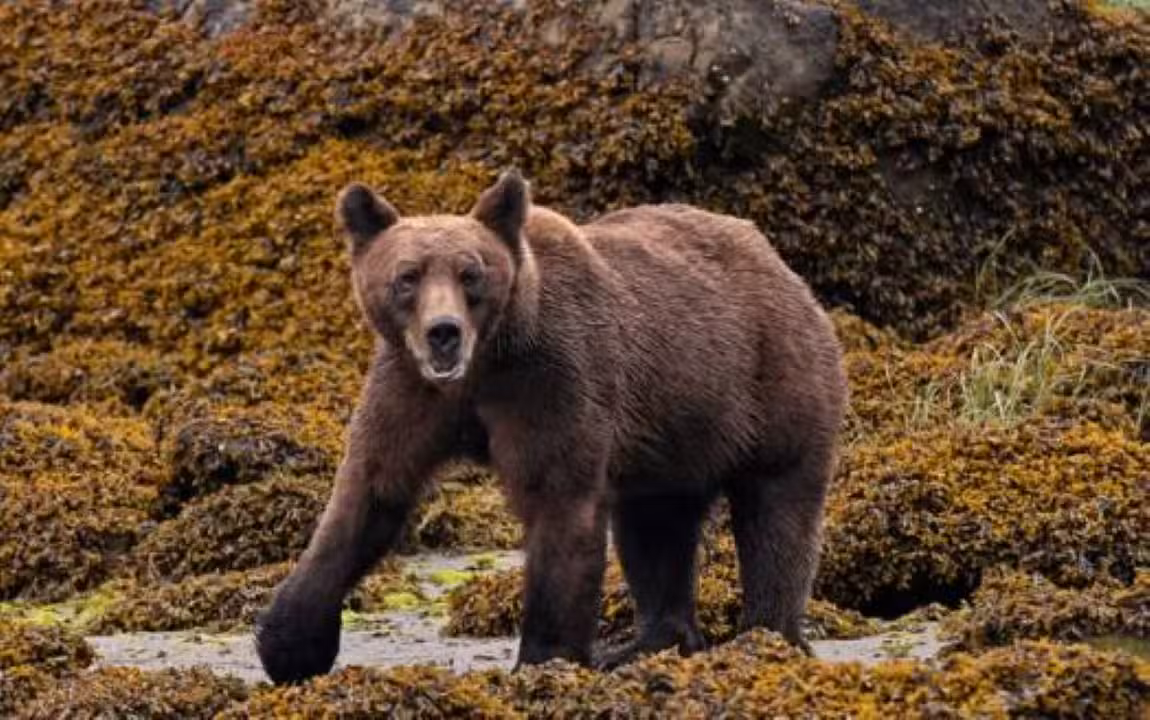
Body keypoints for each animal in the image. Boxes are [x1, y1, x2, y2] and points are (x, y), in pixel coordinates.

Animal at [255, 169, 848, 685]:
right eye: (407, 277)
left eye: (471, 274)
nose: (443, 332)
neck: (486, 363)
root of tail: (783, 268)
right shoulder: (411, 389)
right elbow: (368, 494)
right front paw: (289, 642)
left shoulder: (553, 381)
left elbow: (558, 504)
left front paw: (545, 659)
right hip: (670, 434)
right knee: (655, 525)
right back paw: (648, 643)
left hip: (769, 385)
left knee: (776, 513)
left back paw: (766, 638)